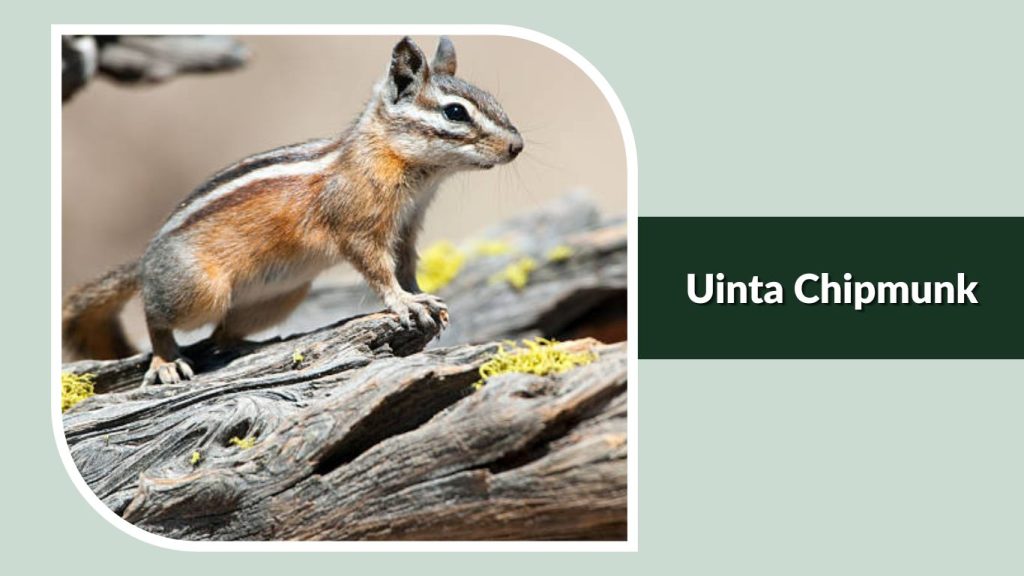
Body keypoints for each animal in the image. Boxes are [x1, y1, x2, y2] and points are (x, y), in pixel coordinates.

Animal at [63, 36, 523, 385]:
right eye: (455, 112)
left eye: (493, 100)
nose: (516, 146)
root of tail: (145, 260)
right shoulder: (357, 225)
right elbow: (377, 269)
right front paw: (404, 302)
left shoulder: (407, 226)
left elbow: (407, 263)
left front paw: (422, 295)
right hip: (200, 291)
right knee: (157, 315)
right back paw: (165, 360)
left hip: (280, 298)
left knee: (221, 333)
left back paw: (249, 344)